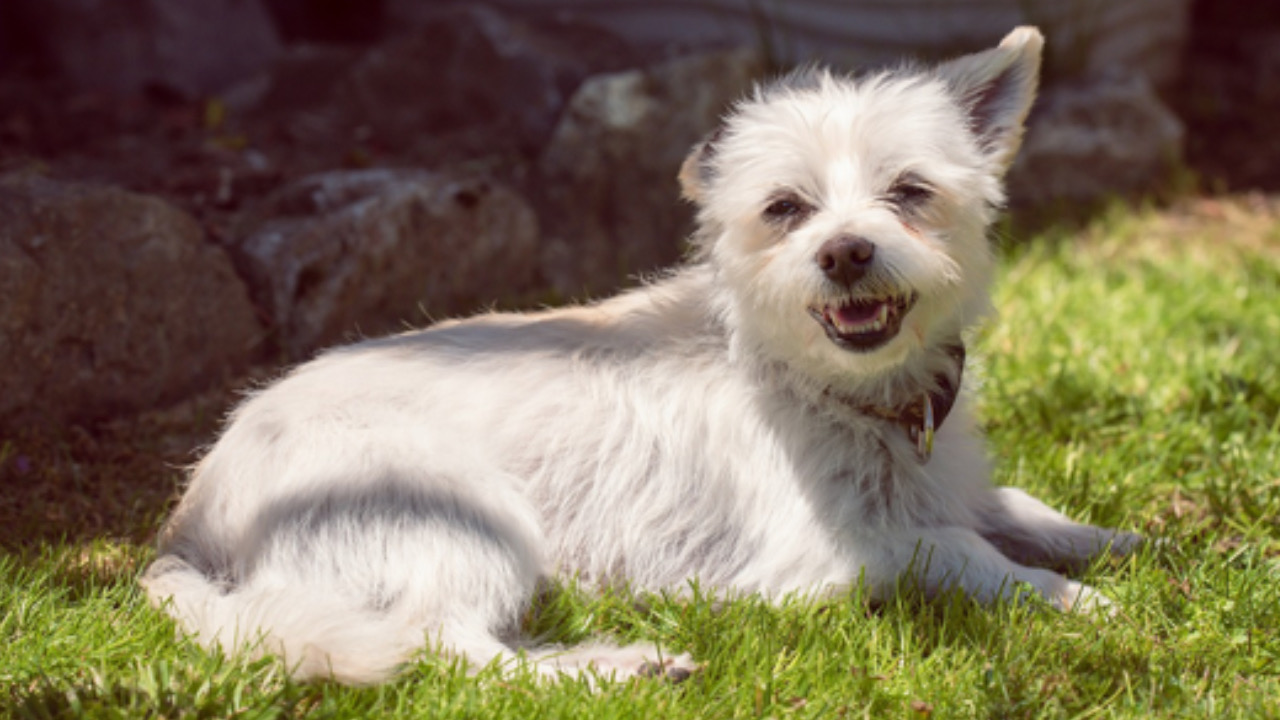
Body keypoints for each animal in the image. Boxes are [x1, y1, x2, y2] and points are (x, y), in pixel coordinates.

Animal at [142, 29, 1141, 681]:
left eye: (909, 192)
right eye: (785, 208)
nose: (846, 252)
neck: (834, 389)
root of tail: (191, 519)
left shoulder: (945, 485)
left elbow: (1012, 506)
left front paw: (1119, 539)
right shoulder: (825, 559)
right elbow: (962, 548)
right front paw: (1071, 597)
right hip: (462, 517)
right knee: (448, 648)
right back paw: (612, 667)